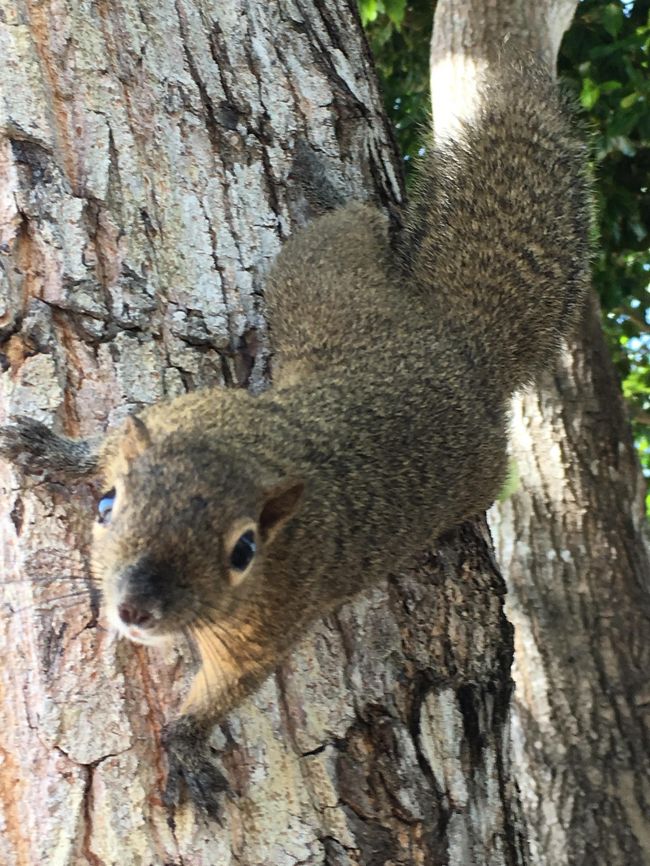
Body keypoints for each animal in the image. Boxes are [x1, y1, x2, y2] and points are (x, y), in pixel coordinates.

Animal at [0, 55, 588, 816]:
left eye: (244, 551)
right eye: (107, 506)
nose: (136, 609)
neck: (256, 450)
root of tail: (458, 346)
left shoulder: (273, 616)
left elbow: (229, 687)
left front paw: (187, 745)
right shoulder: (177, 413)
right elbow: (99, 447)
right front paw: (50, 450)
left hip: (370, 348)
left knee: (364, 219)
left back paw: (323, 176)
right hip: (321, 287)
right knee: (361, 222)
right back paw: (324, 176)